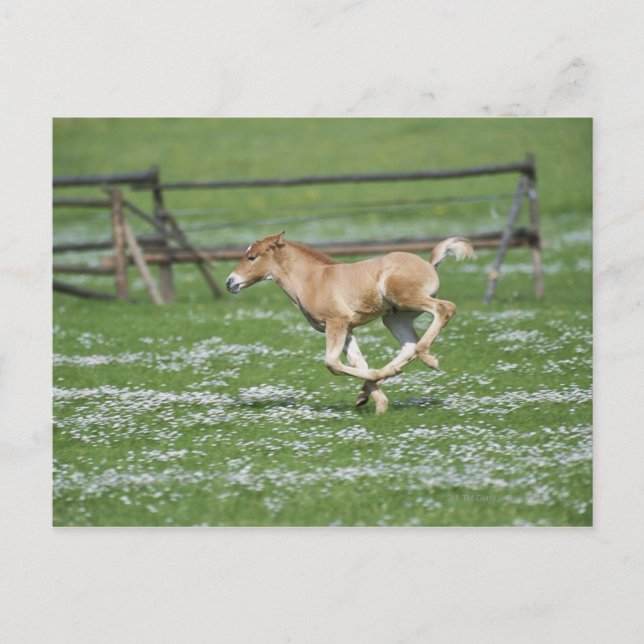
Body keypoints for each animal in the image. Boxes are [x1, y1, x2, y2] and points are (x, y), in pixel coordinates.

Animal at [226, 232, 474, 413]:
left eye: (252, 257)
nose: (230, 282)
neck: (313, 280)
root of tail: (429, 264)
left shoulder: (336, 323)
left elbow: (332, 363)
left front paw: (374, 387)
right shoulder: (347, 328)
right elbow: (358, 362)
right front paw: (377, 403)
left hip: (404, 298)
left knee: (444, 309)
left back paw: (428, 358)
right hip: (394, 317)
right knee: (408, 345)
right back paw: (392, 371)